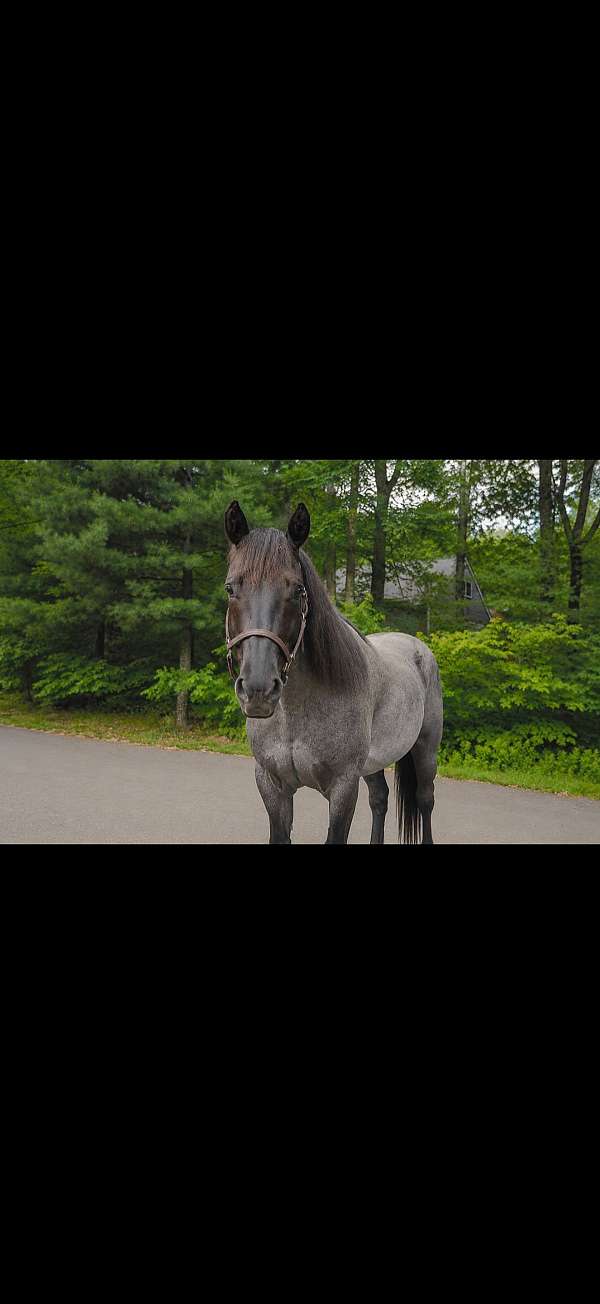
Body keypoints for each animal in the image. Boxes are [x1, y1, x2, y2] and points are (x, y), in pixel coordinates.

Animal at [224, 500, 443, 844]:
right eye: (230, 588)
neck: (295, 715)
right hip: (373, 763)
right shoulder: (271, 784)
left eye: (298, 590)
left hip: (425, 750)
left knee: (425, 801)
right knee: (379, 798)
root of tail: (419, 648)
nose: (259, 691)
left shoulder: (343, 788)